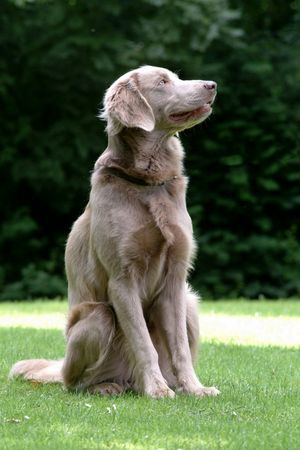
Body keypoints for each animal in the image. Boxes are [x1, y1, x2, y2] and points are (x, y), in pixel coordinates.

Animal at [9, 66, 220, 398]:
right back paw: (108, 386)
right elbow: (143, 343)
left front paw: (194, 388)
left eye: (175, 77)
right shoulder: (122, 279)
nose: (212, 85)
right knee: (75, 383)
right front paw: (157, 390)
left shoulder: (176, 278)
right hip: (97, 315)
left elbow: (180, 349)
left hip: (190, 302)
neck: (147, 184)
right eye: (163, 82)